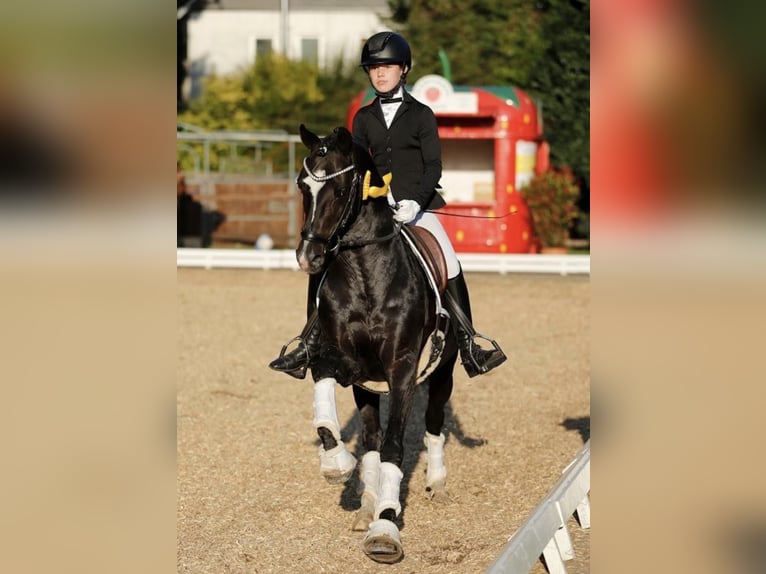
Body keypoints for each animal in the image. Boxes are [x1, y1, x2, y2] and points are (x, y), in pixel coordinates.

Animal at [286, 125, 456, 564]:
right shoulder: (337, 360)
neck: (366, 274)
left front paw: (386, 526)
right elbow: (329, 419)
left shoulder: (402, 368)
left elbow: (396, 446)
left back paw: (436, 483)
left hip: (443, 371)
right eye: (303, 186)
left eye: (341, 188)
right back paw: (366, 503)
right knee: (373, 441)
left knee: (433, 425)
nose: (309, 258)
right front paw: (337, 464)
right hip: (367, 384)